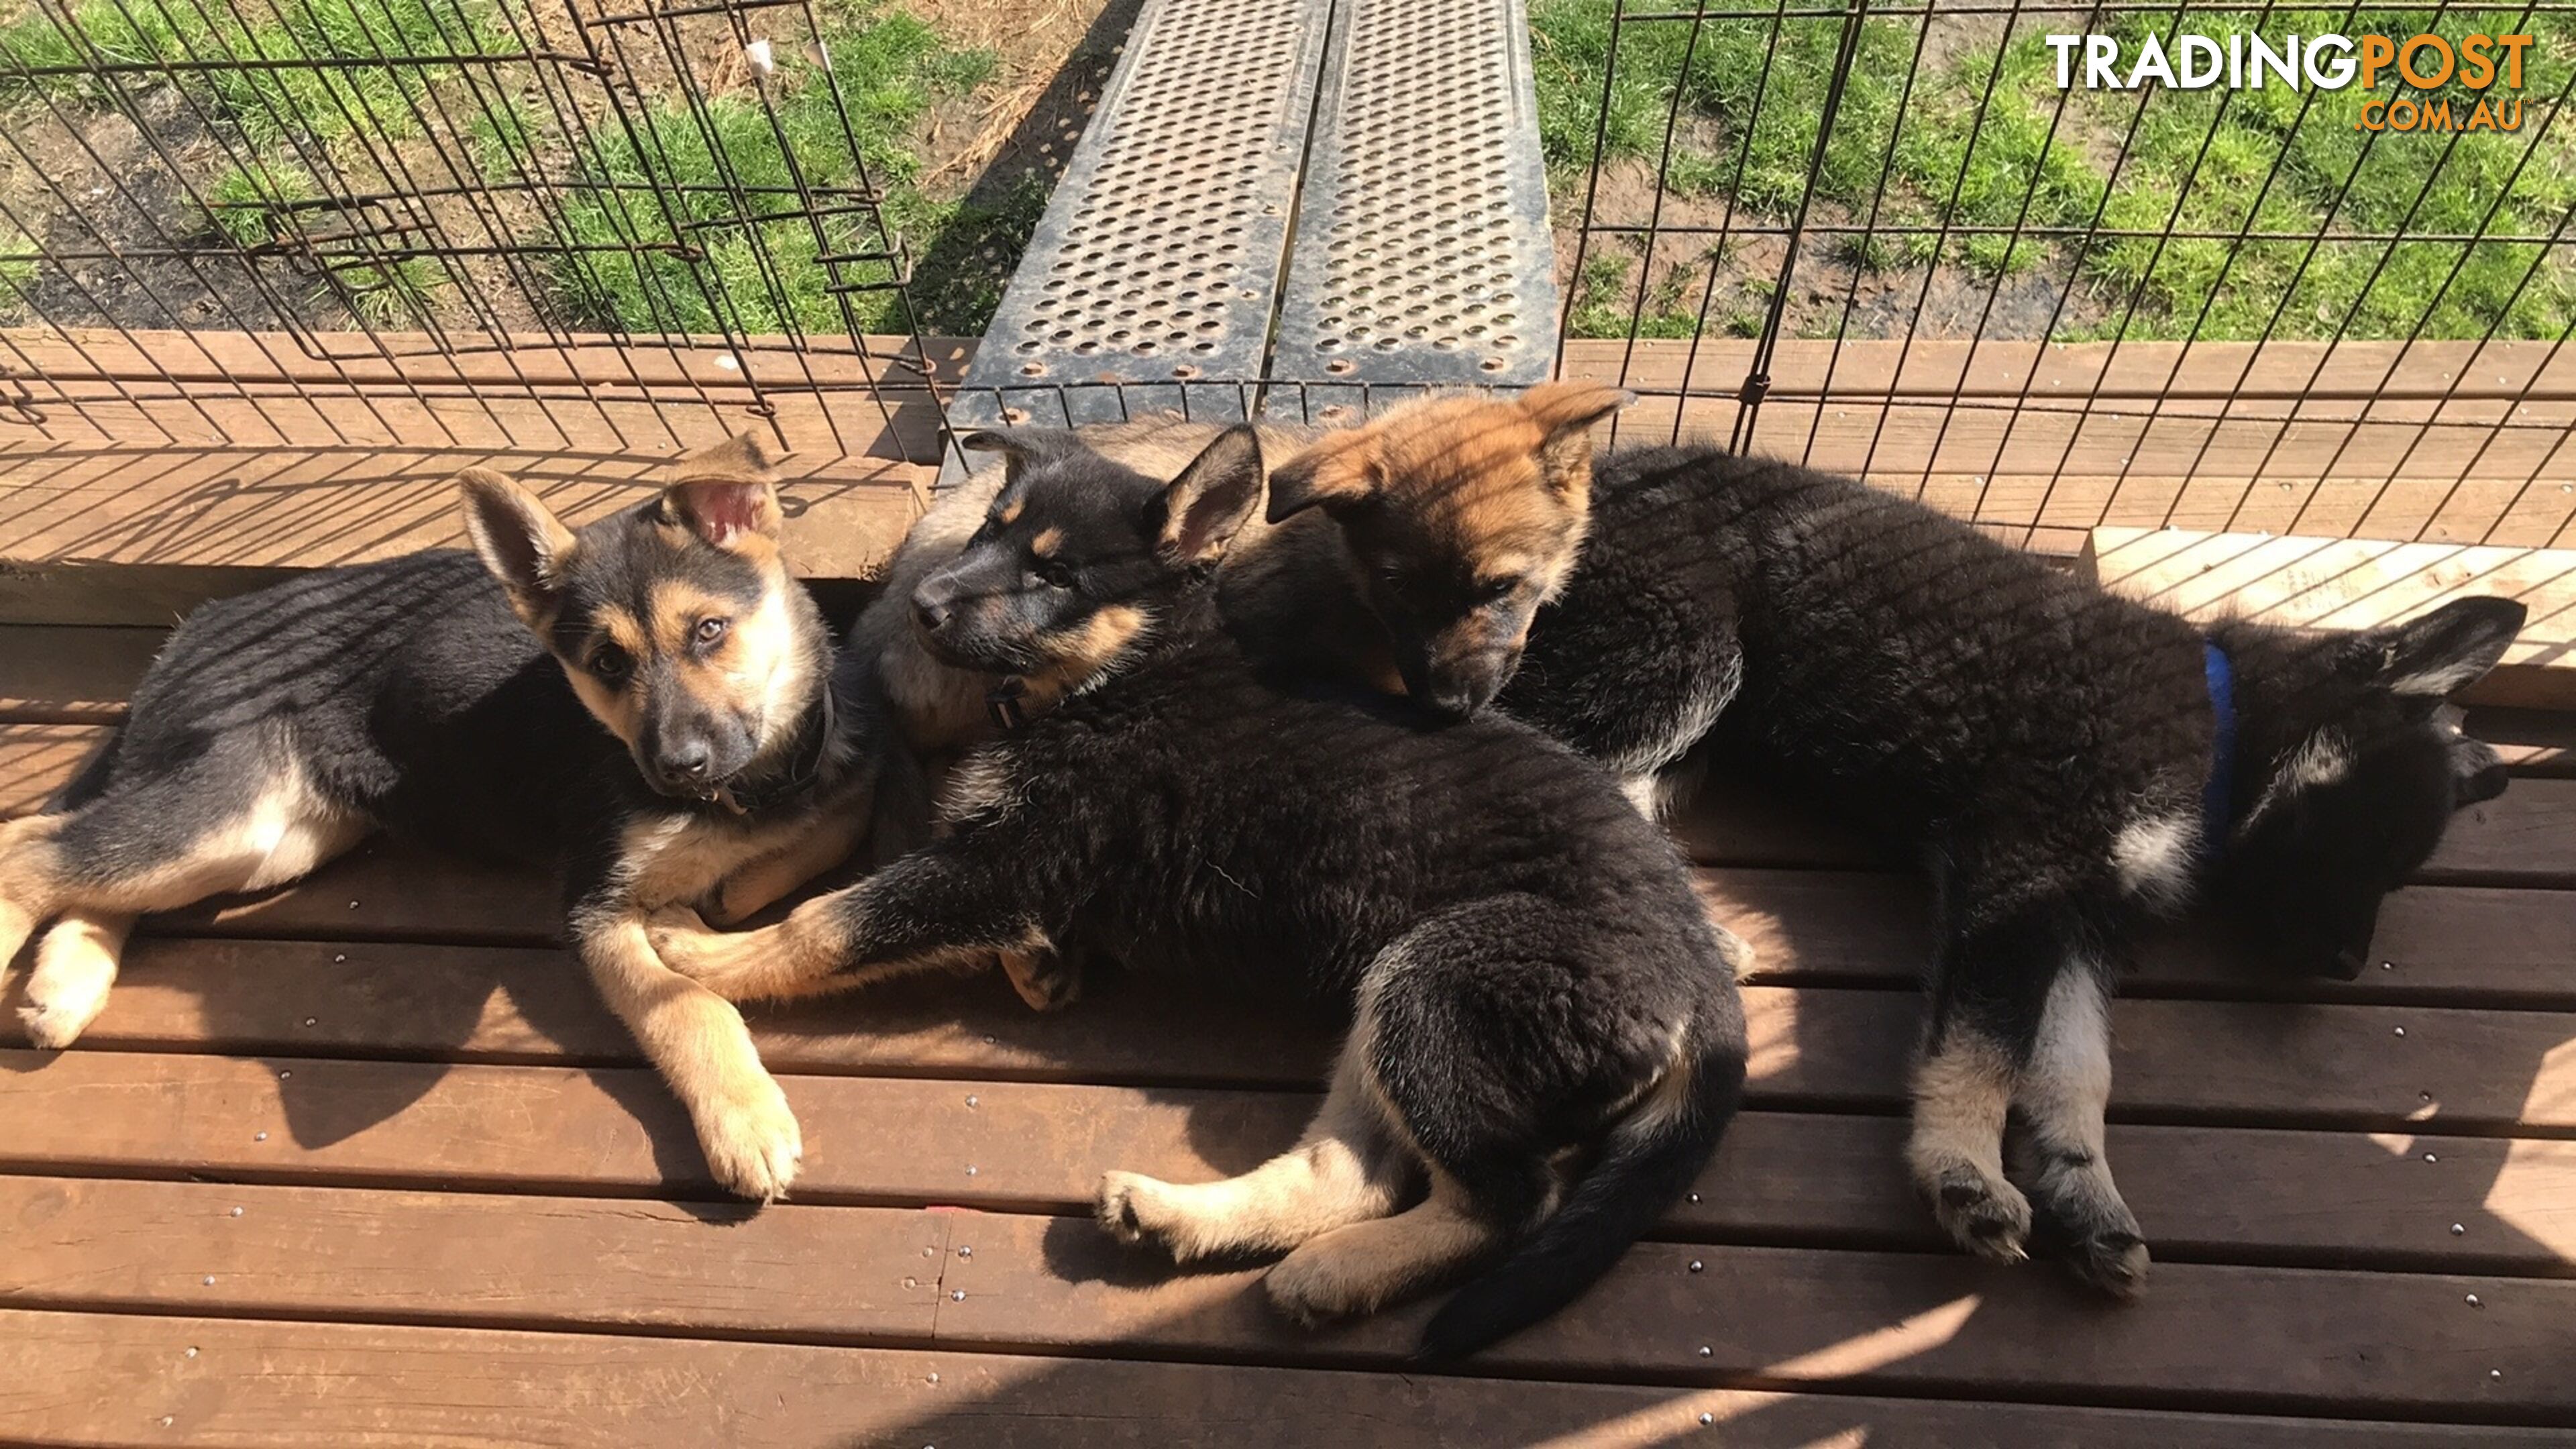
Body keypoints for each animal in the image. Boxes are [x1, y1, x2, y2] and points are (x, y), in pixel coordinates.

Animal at [649, 420, 1752, 1350]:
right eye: (992, 532)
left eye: (1055, 572)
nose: (917, 606)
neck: (1117, 675)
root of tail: (1705, 988)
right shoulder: (1013, 861)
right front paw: (1041, 964)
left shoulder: (1014, 859)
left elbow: (833, 920)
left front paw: (692, 952)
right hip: (1392, 997)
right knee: (1353, 1172)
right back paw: (1201, 1227)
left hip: (1442, 978)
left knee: (1511, 1203)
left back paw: (1341, 1269)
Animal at [1494, 445, 2514, 1289]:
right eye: (2365, 843)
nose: (2346, 969)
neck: (2221, 731)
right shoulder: (2024, 873)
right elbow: (1987, 1046)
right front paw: (1964, 1171)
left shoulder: (2083, 919)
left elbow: (2075, 1069)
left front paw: (2086, 1193)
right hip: (1680, 659)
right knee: (1537, 756)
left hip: (1691, 715)